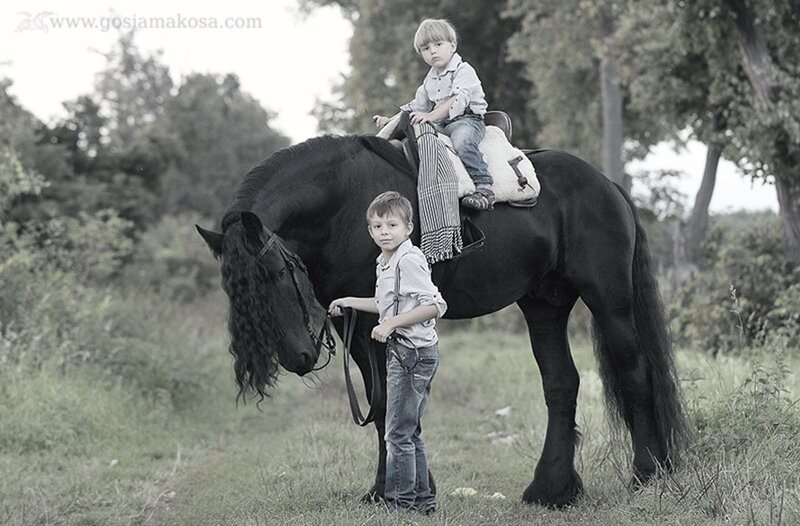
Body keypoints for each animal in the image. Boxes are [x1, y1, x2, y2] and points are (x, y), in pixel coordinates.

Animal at [196, 133, 688, 508]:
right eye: (234, 291)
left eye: (277, 274)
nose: (297, 357)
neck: (344, 204)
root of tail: (607, 184)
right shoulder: (354, 320)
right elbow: (381, 402)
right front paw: (397, 489)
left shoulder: (378, 321)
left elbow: (388, 402)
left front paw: (393, 492)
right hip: (544, 306)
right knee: (561, 384)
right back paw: (551, 490)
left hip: (609, 301)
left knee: (634, 375)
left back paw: (648, 474)